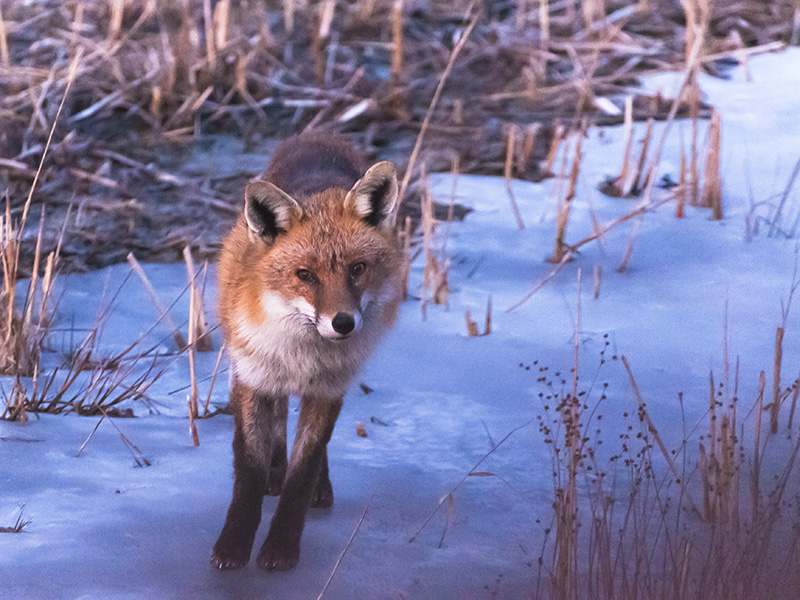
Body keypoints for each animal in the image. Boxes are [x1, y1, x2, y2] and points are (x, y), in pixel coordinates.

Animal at [211, 135, 404, 572]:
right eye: (305, 275)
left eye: (357, 269)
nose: (343, 323)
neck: (305, 354)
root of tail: (316, 139)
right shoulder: (251, 376)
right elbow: (248, 468)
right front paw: (233, 545)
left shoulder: (329, 388)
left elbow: (304, 470)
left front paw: (281, 547)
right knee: (280, 419)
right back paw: (275, 470)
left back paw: (318, 486)